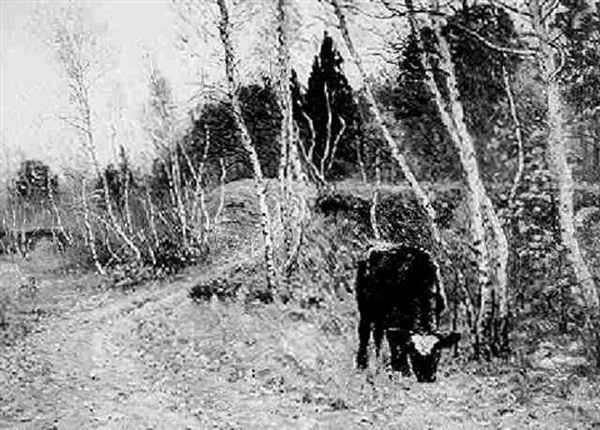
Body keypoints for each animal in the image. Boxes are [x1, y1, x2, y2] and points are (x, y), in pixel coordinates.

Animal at [356, 244, 460, 382]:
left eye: (437, 353)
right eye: (414, 353)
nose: (427, 377)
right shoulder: (394, 319)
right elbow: (397, 343)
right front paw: (402, 370)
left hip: (379, 316)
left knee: (378, 336)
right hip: (365, 309)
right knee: (364, 334)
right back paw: (361, 365)